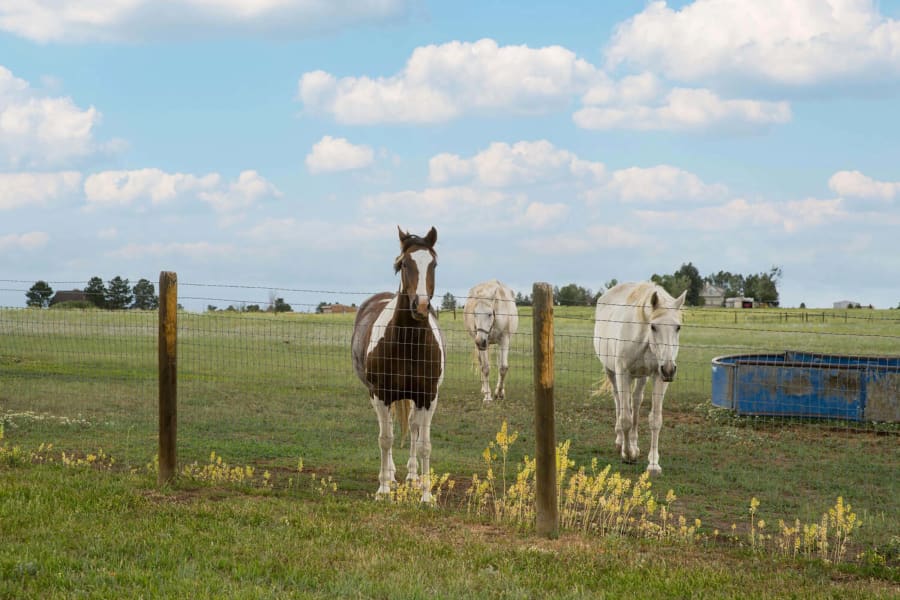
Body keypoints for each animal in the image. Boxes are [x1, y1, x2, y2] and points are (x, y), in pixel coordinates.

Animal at [350, 225, 444, 502]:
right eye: (404, 264)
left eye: (433, 264)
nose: (420, 306)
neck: (407, 343)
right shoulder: (381, 394)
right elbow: (385, 439)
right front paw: (383, 490)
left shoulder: (428, 396)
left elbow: (424, 444)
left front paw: (426, 495)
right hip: (378, 396)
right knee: (389, 429)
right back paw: (390, 475)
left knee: (413, 428)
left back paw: (412, 476)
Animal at [596, 284, 684, 476]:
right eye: (653, 326)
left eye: (678, 327)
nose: (669, 369)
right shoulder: (623, 373)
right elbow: (626, 419)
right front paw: (627, 454)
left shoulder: (658, 377)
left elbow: (655, 420)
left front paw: (653, 464)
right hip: (612, 372)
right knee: (618, 401)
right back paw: (620, 441)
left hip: (642, 377)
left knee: (635, 402)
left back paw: (634, 444)